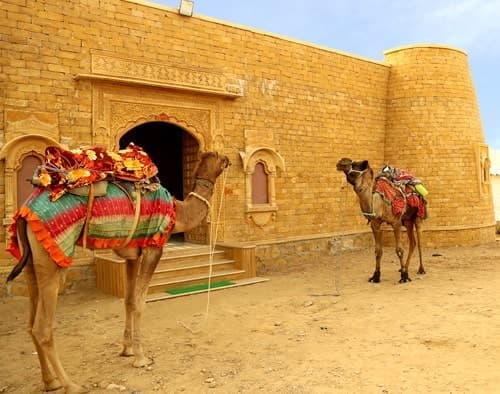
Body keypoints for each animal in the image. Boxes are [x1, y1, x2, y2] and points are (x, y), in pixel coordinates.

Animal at [5, 150, 230, 390]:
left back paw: (50, 382)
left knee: (30, 324)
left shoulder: (133, 254)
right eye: (219, 157)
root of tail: (24, 212)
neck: (178, 213)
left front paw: (127, 349)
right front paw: (141, 357)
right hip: (52, 255)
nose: (228, 159)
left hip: (31, 260)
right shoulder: (153, 248)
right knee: (42, 328)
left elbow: (129, 300)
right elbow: (140, 302)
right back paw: (71, 385)